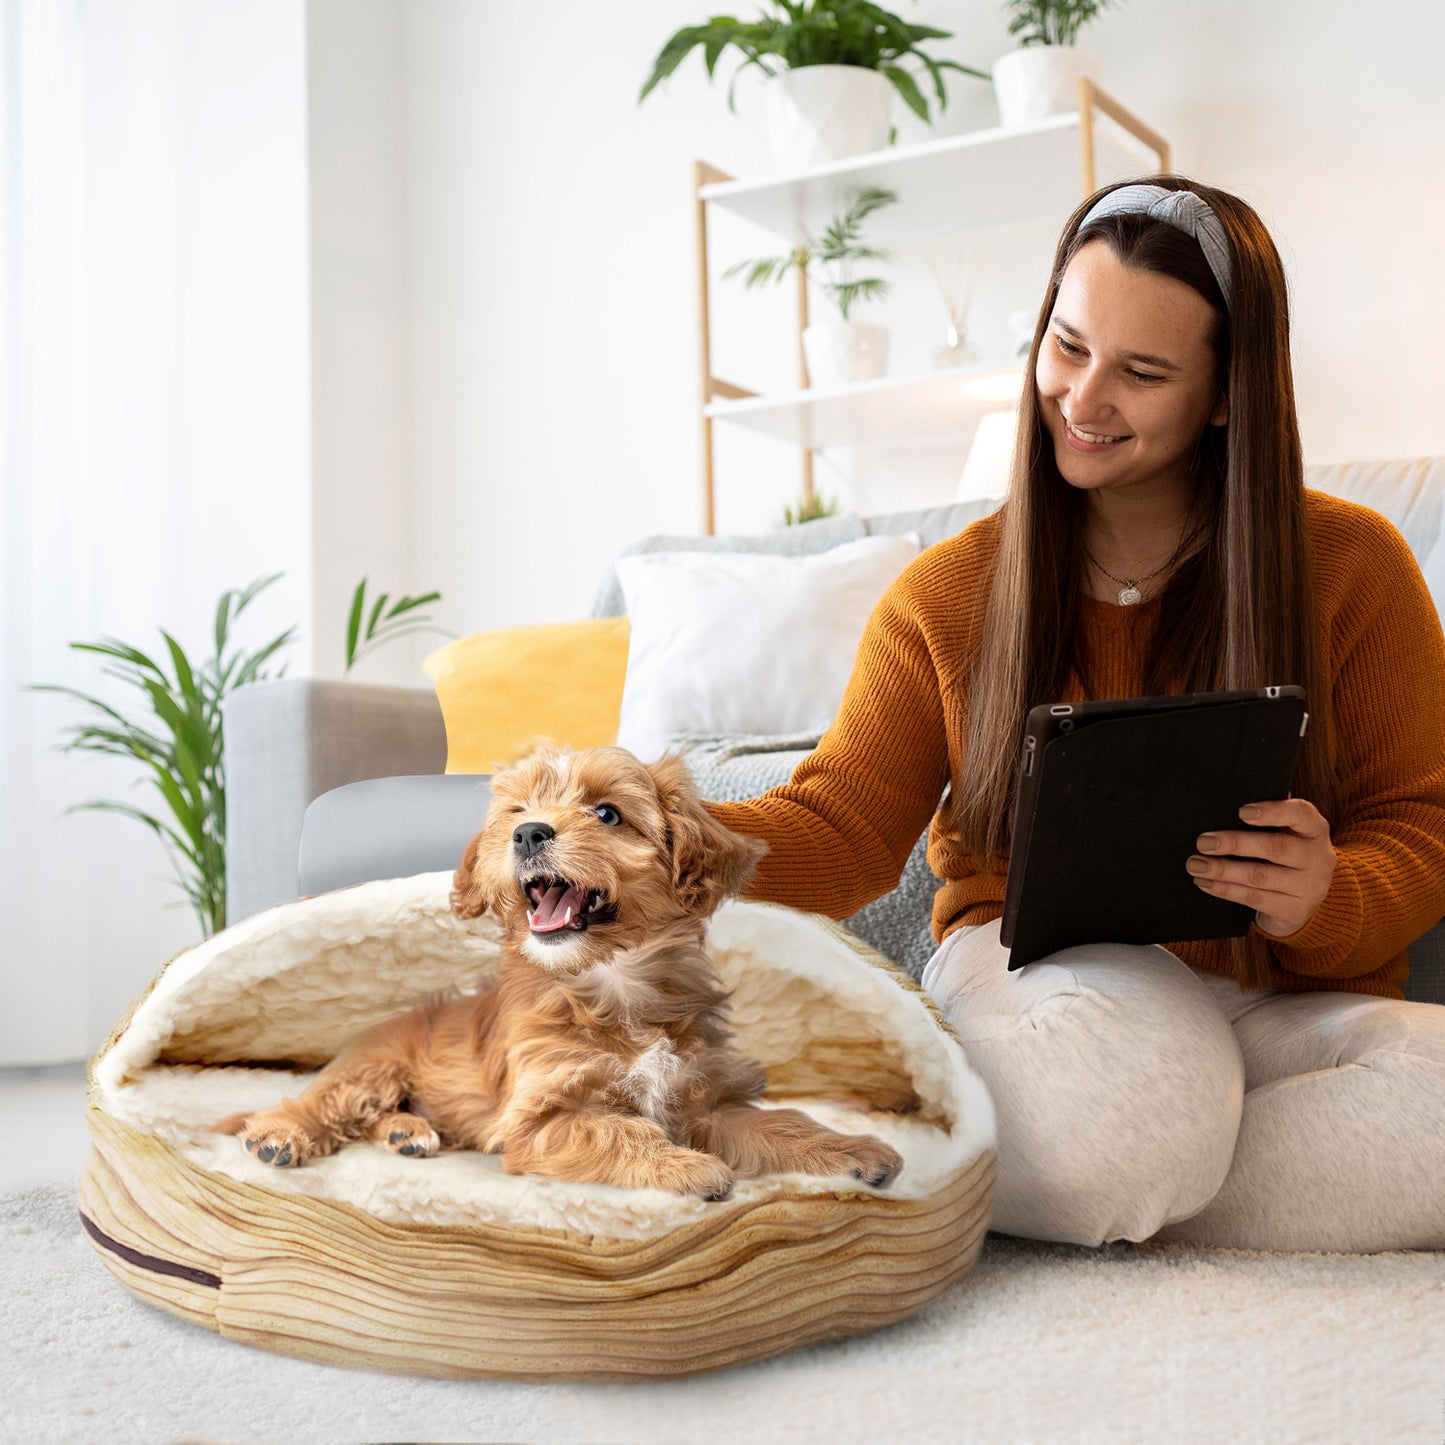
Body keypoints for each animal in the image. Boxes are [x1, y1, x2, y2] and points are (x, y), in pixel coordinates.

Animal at [216, 745, 901, 1196]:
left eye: (608, 814)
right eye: (517, 809)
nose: (526, 833)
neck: (615, 980)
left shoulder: (706, 1098)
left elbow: (782, 1122)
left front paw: (854, 1151)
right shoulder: (537, 1118)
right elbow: (619, 1133)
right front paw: (686, 1167)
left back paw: (406, 1132)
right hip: (374, 1068)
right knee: (323, 1102)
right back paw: (279, 1134)